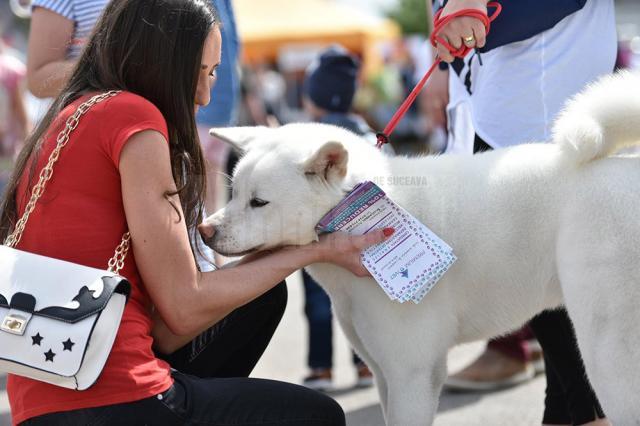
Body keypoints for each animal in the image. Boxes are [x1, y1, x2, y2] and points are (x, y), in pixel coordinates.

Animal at [202, 71, 640, 424]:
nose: (205, 231)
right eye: (234, 192)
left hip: (608, 352)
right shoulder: (382, 371)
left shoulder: (412, 373)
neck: (373, 204)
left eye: (259, 202)